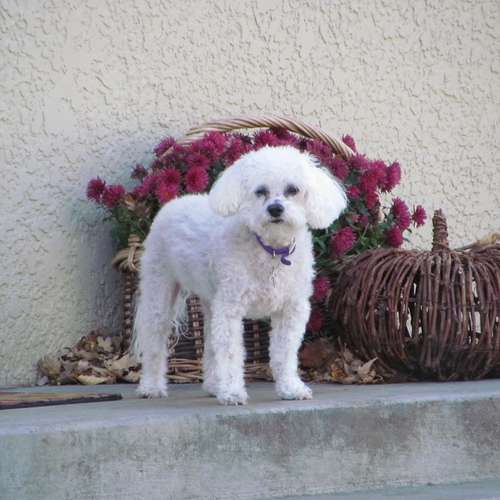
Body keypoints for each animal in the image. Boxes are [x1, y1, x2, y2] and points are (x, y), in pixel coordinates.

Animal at [133, 145, 346, 405]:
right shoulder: (231, 309)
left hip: (211, 302)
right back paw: (151, 386)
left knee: (210, 343)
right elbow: (231, 353)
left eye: (293, 190)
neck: (270, 249)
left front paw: (290, 388)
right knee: (154, 340)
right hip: (159, 289)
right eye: (260, 191)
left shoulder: (291, 310)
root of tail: (174, 202)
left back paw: (214, 385)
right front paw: (233, 392)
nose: (275, 209)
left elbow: (284, 352)